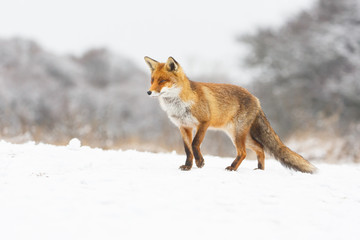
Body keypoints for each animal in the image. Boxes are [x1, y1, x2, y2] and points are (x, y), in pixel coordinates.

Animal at [143, 56, 318, 172]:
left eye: (162, 81)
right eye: (152, 80)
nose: (148, 92)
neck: (179, 104)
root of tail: (256, 99)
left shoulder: (204, 123)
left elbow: (195, 144)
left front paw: (200, 162)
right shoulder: (183, 126)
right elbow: (187, 149)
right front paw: (188, 166)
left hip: (237, 134)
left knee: (244, 152)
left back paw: (233, 167)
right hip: (238, 135)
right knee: (260, 148)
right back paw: (260, 169)